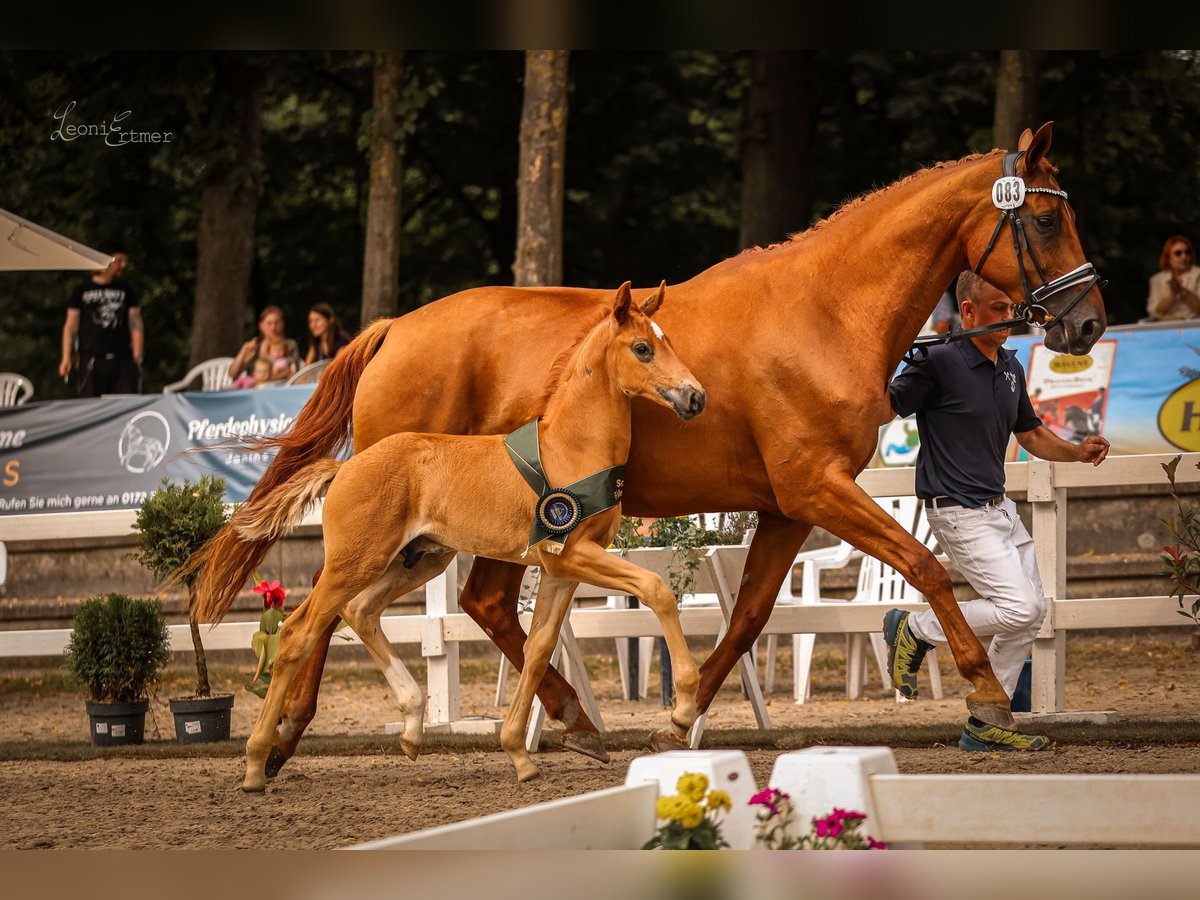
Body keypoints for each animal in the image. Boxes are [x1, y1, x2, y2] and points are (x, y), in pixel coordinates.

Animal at [234, 283, 700, 787]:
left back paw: (413, 727)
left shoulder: (561, 567)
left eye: (669, 340)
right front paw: (683, 710)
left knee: (360, 612)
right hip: (355, 562)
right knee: (297, 632)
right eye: (642, 348)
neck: (571, 448)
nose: (695, 397)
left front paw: (519, 753)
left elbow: (539, 648)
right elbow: (657, 589)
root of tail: (344, 467)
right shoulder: (576, 552)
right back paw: (257, 762)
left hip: (419, 559)